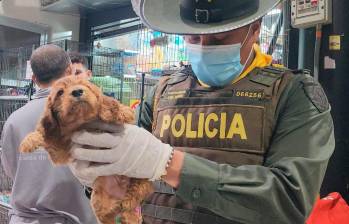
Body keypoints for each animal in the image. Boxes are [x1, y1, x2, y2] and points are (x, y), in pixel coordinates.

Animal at [18, 76, 152, 223]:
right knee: (114, 215)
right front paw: (30, 140)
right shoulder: (62, 152)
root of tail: (120, 197)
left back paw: (129, 200)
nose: (77, 91)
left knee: (141, 189)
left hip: (139, 174)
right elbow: (48, 138)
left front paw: (116, 110)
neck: (83, 122)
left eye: (85, 85)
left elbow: (117, 108)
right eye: (60, 92)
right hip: (98, 201)